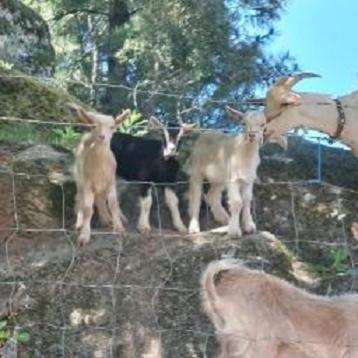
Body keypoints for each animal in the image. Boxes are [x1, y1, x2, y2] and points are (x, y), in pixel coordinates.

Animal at [186, 107, 264, 239]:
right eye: (243, 123)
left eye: (263, 125)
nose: (252, 135)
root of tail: (205, 133)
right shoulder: (233, 179)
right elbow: (237, 202)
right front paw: (234, 231)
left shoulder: (248, 179)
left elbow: (247, 200)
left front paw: (249, 226)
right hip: (196, 168)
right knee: (195, 196)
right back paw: (194, 227)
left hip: (220, 177)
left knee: (212, 195)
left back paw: (225, 218)